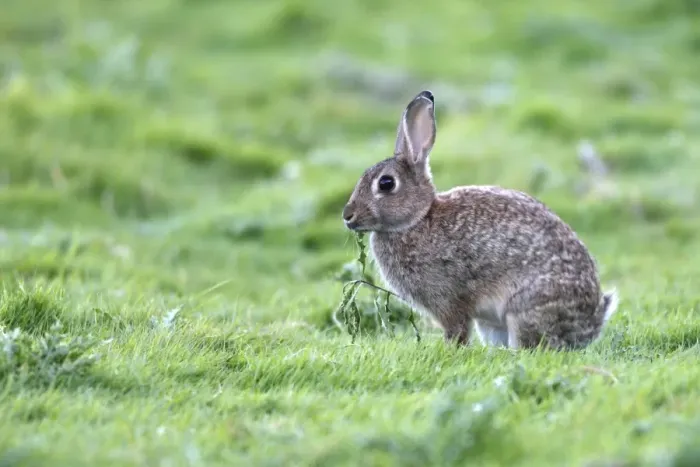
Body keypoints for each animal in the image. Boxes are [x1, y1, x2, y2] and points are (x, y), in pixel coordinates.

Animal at [341, 90, 618, 350]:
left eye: (386, 183)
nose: (347, 216)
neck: (417, 220)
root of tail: (592, 323)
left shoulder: (448, 299)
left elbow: (457, 330)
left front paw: (450, 349)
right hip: (492, 326)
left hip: (524, 308)